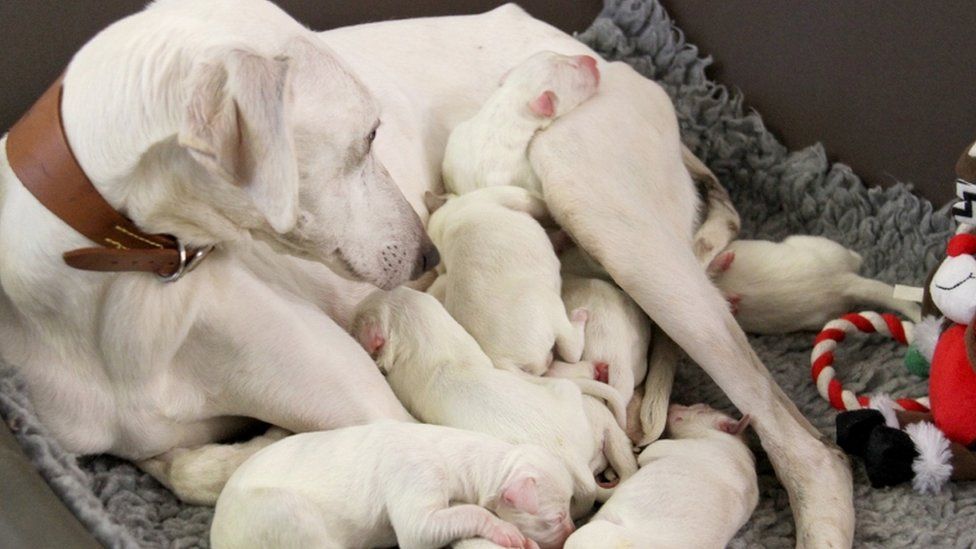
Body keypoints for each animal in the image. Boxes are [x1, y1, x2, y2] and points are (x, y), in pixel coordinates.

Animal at [212, 422, 572, 548]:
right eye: (555, 518)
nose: (571, 531)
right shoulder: (415, 477)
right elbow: (427, 528)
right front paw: (509, 533)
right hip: (285, 514)